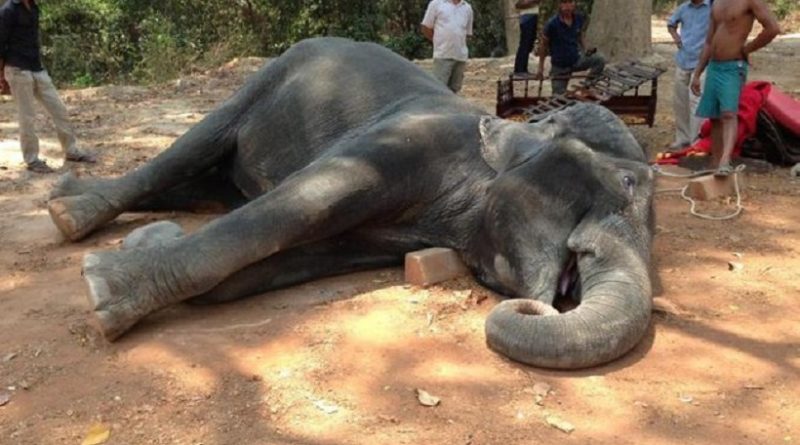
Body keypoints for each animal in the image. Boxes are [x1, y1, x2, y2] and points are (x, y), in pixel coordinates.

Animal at [47, 37, 655, 370]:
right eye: (625, 183)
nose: (546, 304)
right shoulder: (401, 143)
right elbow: (300, 203)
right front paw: (101, 288)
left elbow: (265, 268)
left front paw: (149, 243)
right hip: (265, 78)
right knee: (188, 151)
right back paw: (67, 214)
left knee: (206, 183)